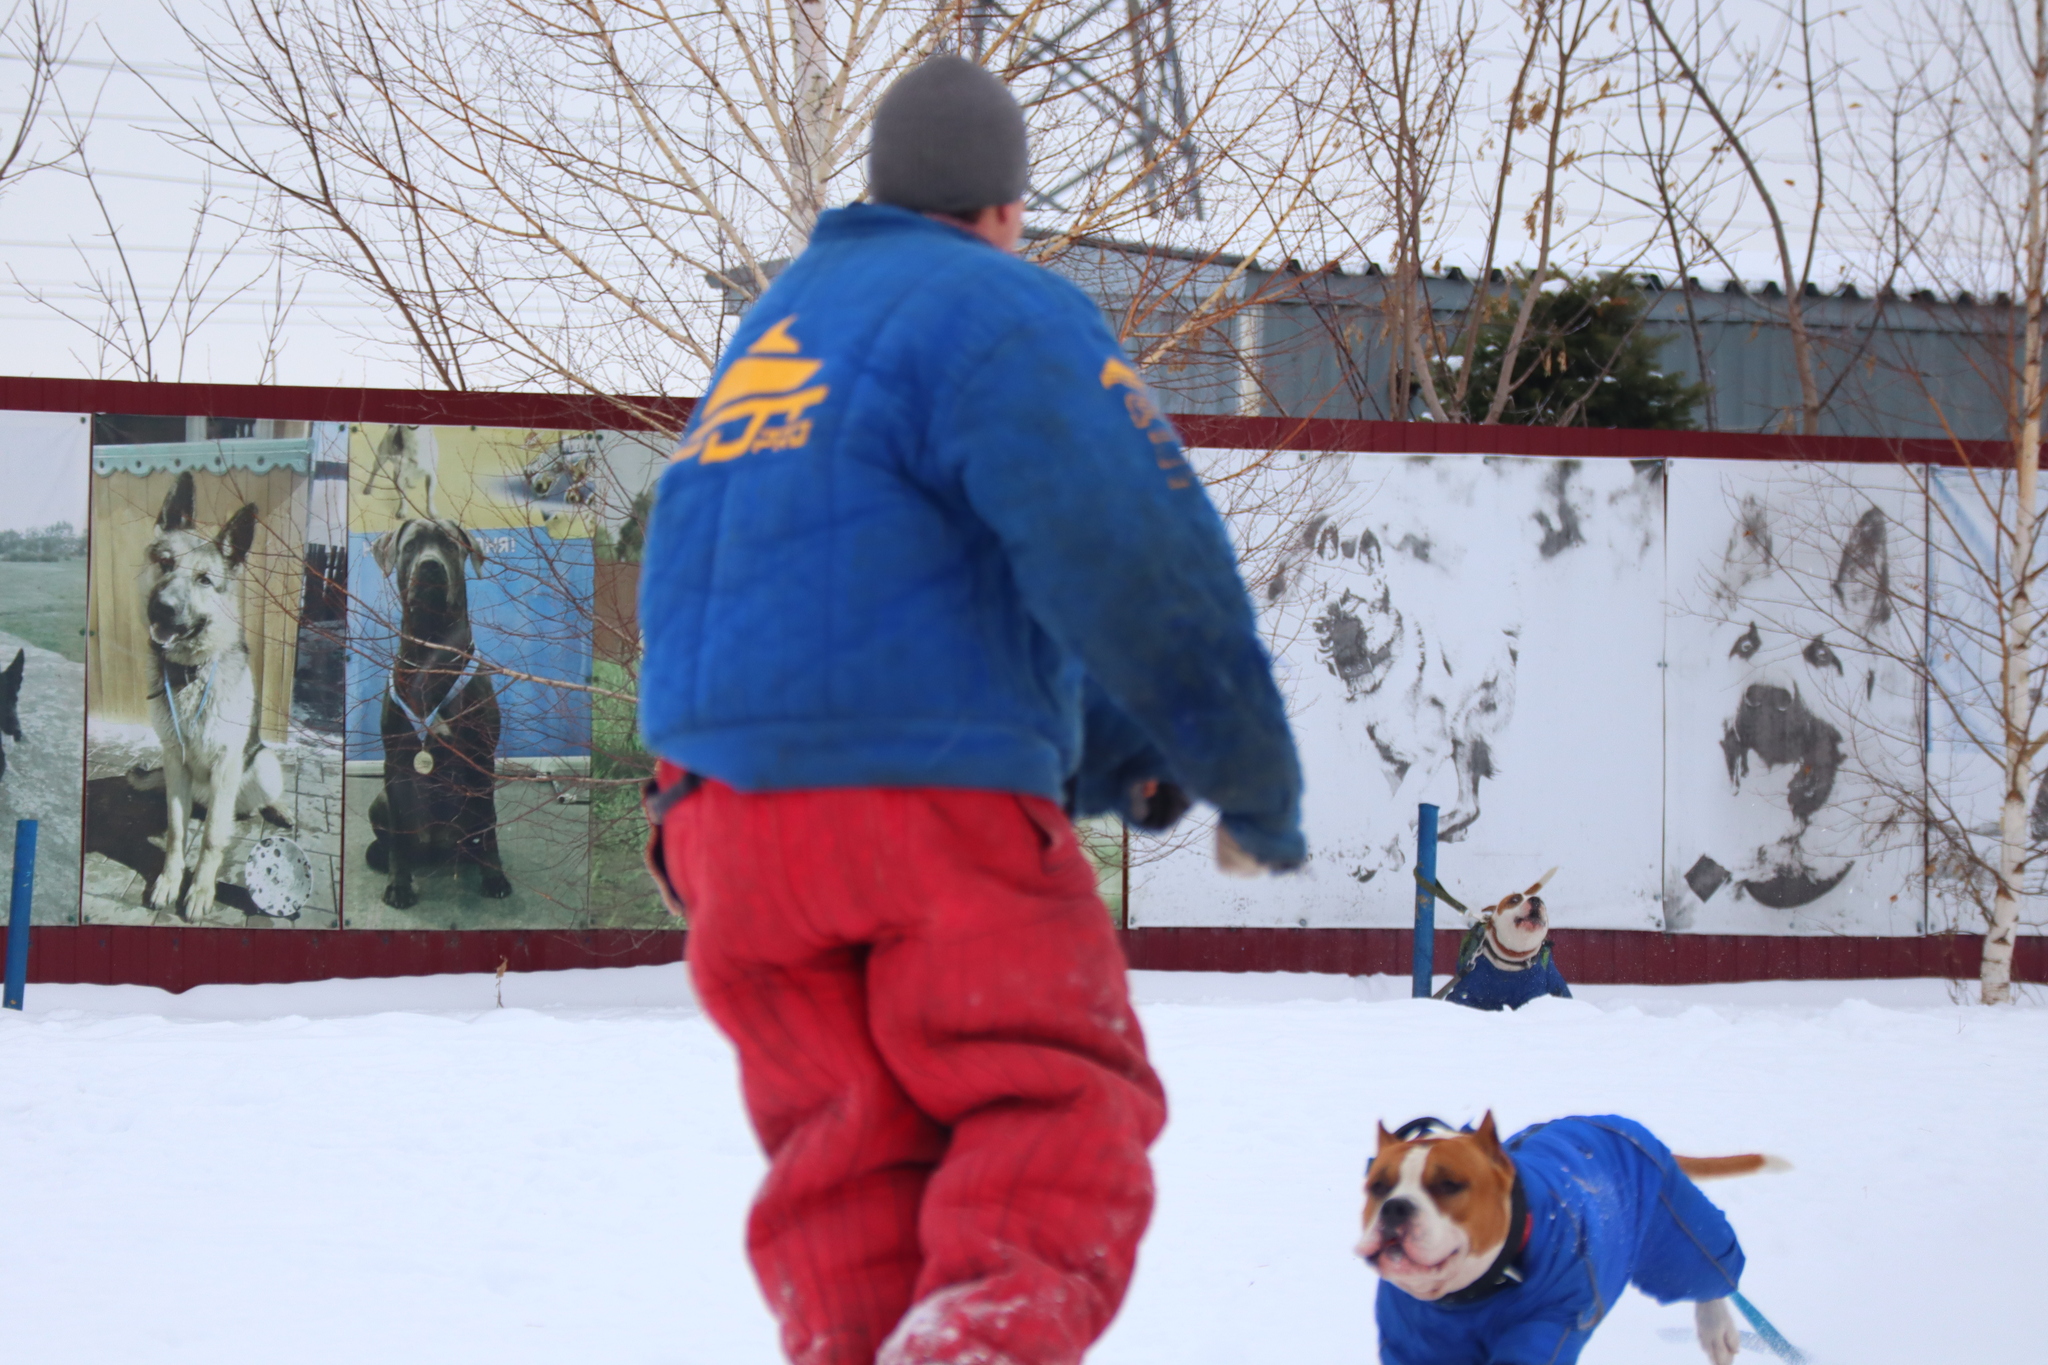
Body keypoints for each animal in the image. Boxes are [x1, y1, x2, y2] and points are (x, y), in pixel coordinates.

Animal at [1368, 1113, 1785, 1365]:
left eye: (1449, 1185)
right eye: (1377, 1186)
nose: (1395, 1208)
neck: (1469, 1299)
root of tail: (1618, 1123)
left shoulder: (1548, 1325)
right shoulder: (1417, 1340)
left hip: (1671, 1228)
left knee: (1709, 1271)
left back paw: (1717, 1330)